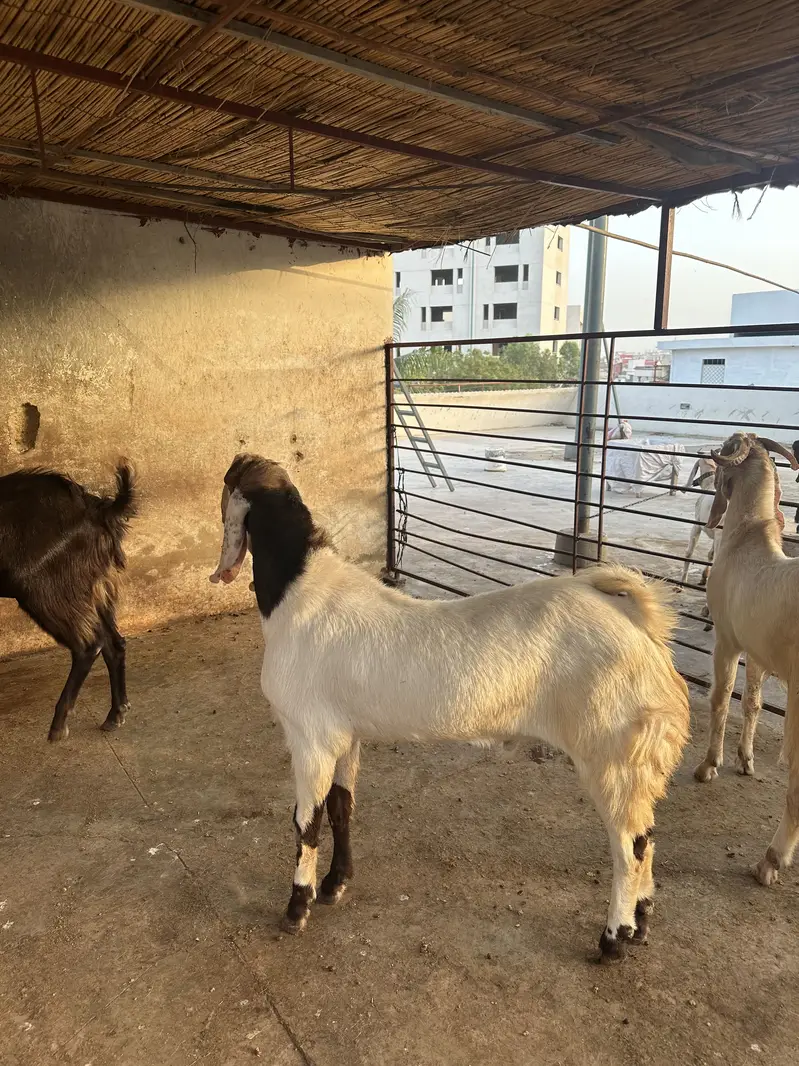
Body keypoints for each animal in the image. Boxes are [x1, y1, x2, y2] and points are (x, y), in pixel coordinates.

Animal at [0, 462, 137, 741]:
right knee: (114, 642)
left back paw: (58, 726)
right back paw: (115, 714)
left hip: (49, 592)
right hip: (95, 589)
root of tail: (98, 510)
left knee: (89, 644)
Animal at [210, 453, 690, 963]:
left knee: (628, 847)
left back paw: (613, 940)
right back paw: (640, 925)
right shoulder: (346, 734)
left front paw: (297, 907)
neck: (297, 590)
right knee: (647, 838)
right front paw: (336, 884)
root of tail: (640, 626)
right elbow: (342, 807)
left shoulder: (309, 737)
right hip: (633, 761)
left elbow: (305, 822)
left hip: (611, 752)